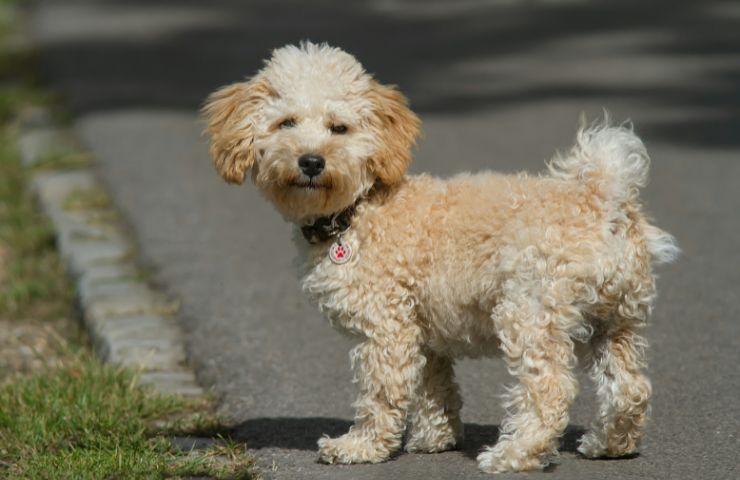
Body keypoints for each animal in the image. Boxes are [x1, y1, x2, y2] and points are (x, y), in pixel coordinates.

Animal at [201, 41, 676, 472]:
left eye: (339, 128)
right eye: (286, 123)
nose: (311, 161)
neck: (357, 210)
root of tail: (603, 197)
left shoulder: (386, 328)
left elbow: (382, 392)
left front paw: (361, 447)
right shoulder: (422, 330)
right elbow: (434, 388)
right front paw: (435, 439)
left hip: (531, 311)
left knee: (550, 389)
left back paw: (514, 455)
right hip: (616, 320)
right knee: (630, 388)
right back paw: (608, 444)